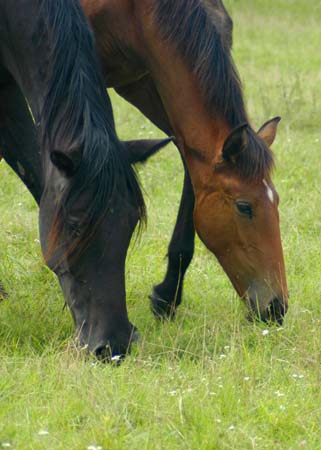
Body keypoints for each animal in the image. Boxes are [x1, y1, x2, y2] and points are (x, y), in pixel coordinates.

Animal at [81, 0, 288, 324]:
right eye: (244, 207)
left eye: (276, 200)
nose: (276, 307)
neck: (137, 12)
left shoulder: (145, 81)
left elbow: (187, 155)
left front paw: (167, 296)